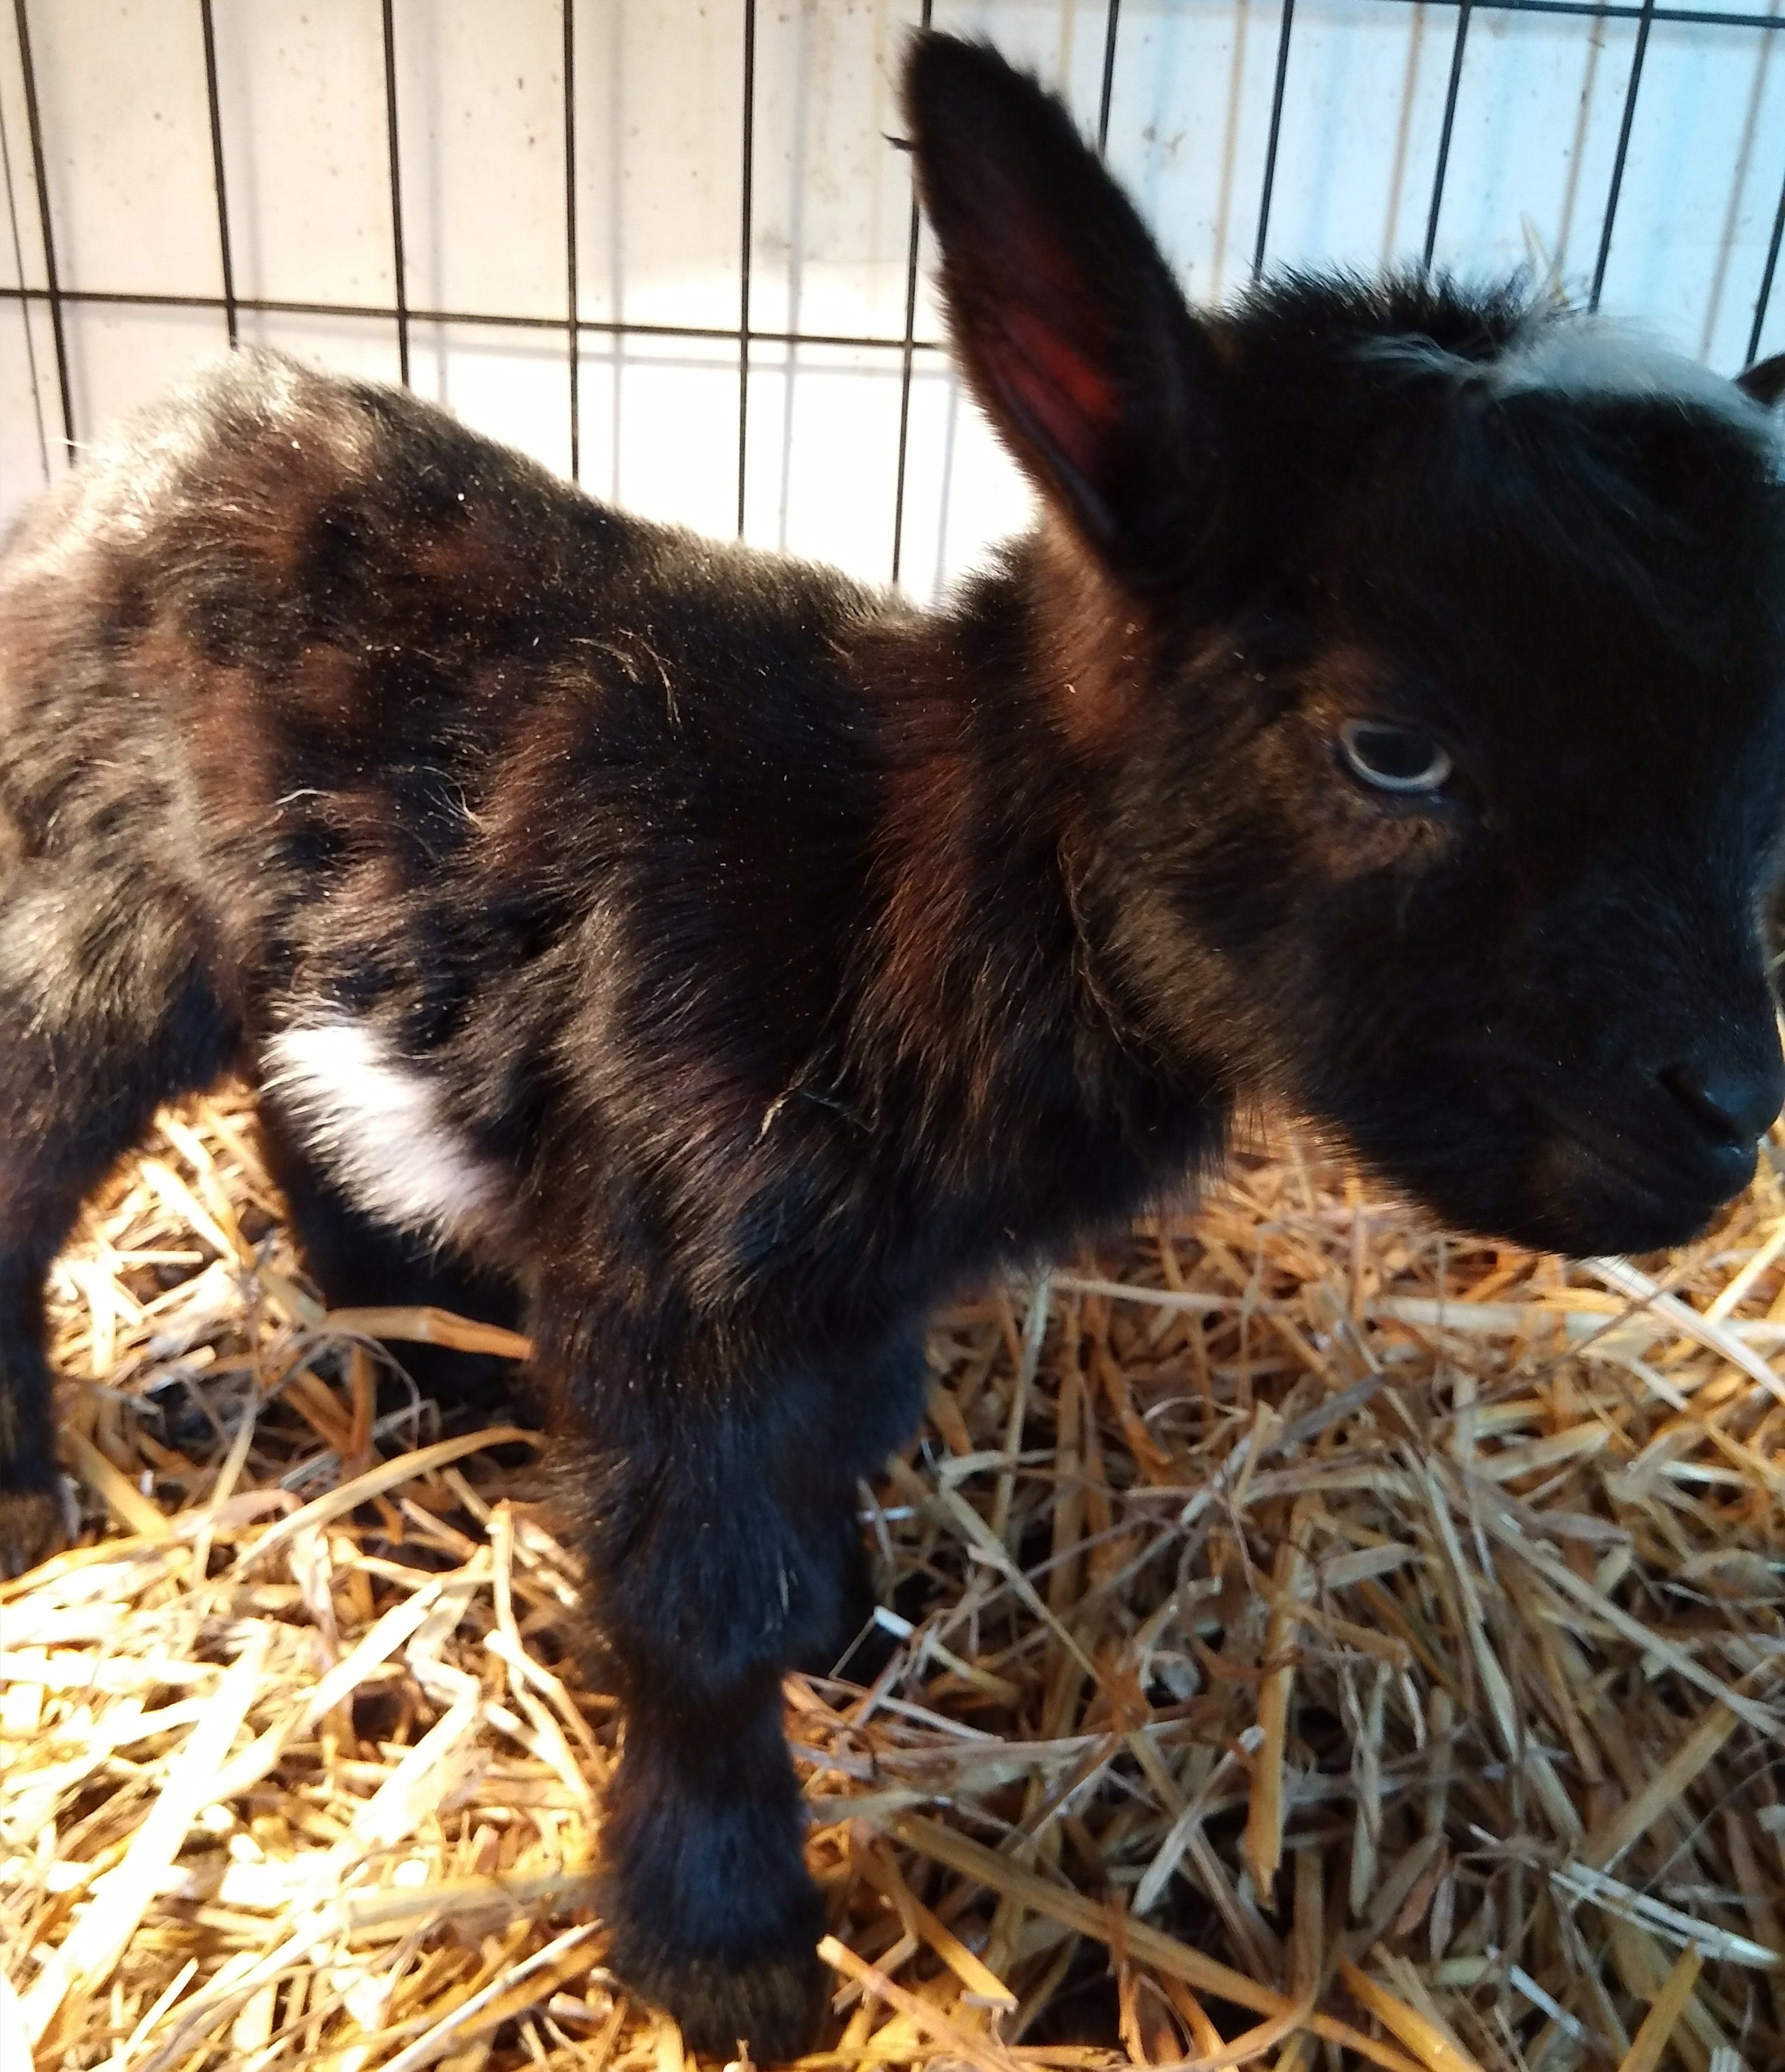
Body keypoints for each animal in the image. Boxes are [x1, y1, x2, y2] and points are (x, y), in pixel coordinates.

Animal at [2, 31, 1783, 2060]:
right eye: (1392, 748)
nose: (1727, 1117)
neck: (895, 885)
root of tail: (145, 438)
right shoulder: (675, 1266)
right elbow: (696, 1605)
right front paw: (727, 1944)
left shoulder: (851, 1289)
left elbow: (848, 1442)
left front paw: (848, 1625)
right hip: (103, 894)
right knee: (28, 1139)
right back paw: (27, 1484)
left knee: (303, 1095)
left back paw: (426, 1357)